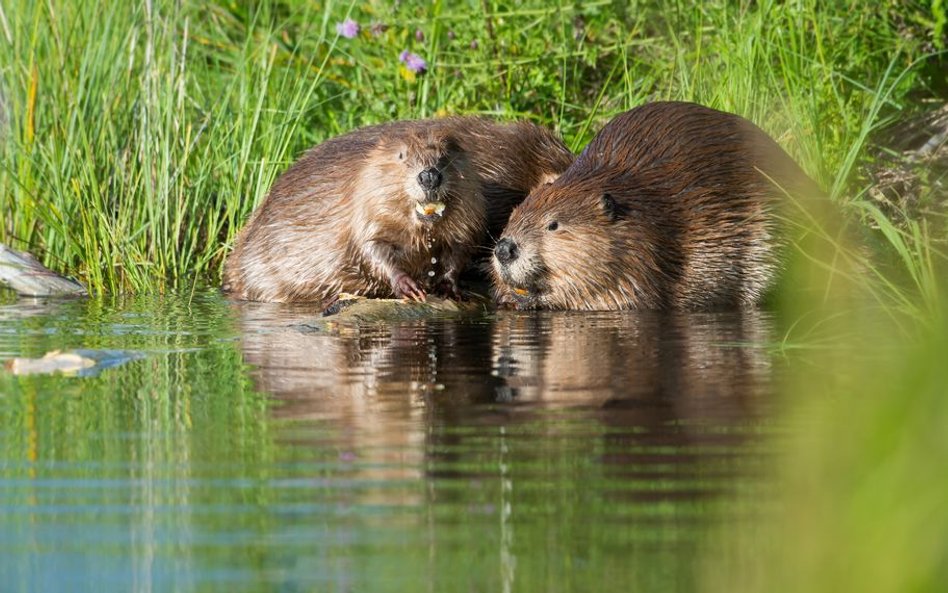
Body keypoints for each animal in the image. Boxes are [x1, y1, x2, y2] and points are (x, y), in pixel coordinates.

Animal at [492, 100, 824, 310]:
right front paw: (508, 295)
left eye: (553, 224)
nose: (504, 249)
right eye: (513, 215)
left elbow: (621, 296)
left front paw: (526, 299)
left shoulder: (643, 256)